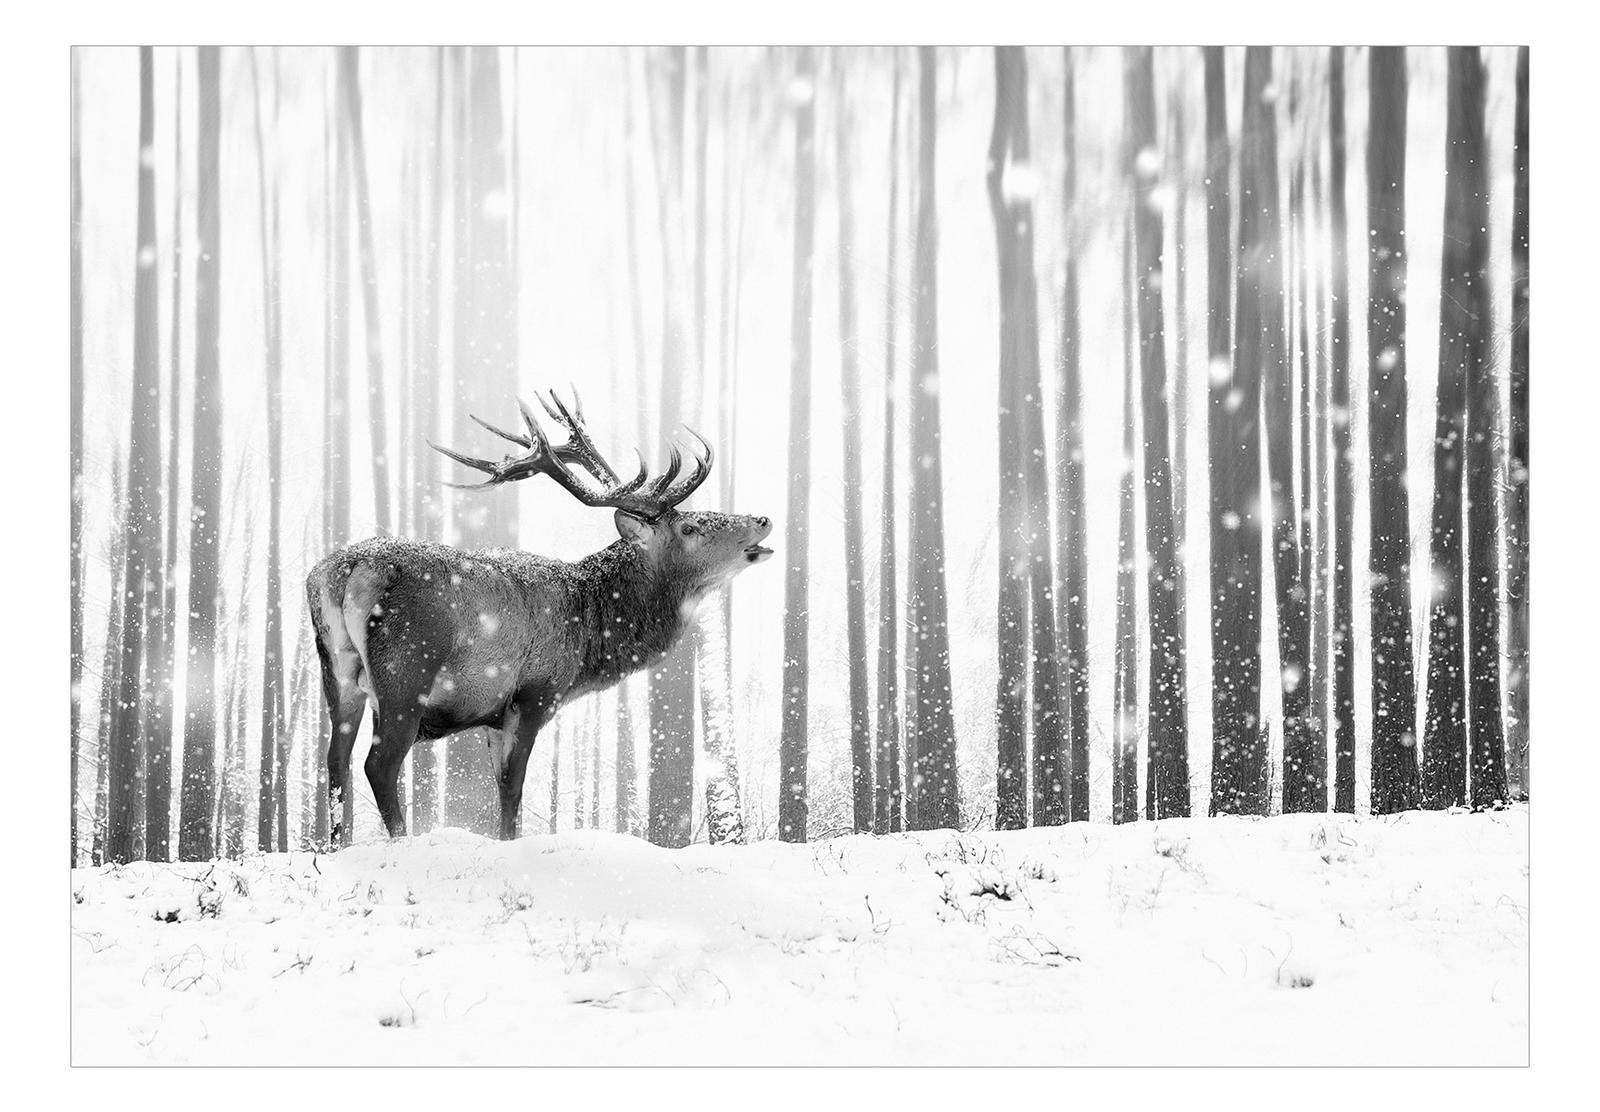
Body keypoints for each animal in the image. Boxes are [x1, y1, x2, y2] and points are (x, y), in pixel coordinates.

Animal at [306, 390, 773, 845]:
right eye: (689, 528)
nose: (763, 519)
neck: (589, 636)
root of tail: (347, 571)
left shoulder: (492, 715)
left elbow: (500, 788)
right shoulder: (535, 691)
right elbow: (513, 788)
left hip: (337, 672)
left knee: (335, 762)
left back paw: (336, 846)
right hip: (406, 671)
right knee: (379, 764)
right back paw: (401, 842)